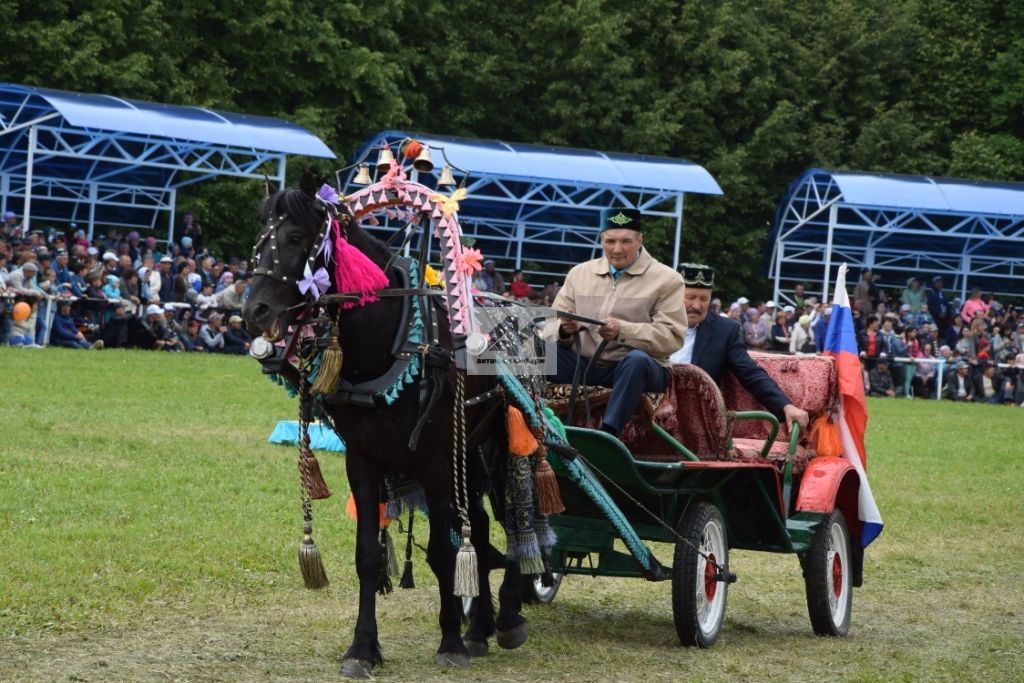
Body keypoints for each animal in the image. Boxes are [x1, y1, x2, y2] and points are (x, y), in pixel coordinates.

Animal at [240, 175, 528, 679]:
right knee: (479, 528)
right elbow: (368, 558)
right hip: (469, 453)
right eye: (259, 244)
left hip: (500, 440)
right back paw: (480, 628)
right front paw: (362, 648)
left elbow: (443, 554)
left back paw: (508, 617)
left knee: (510, 525)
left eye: (294, 239)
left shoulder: (434, 461)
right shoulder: (363, 462)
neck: (390, 342)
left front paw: (449, 641)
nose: (253, 309)